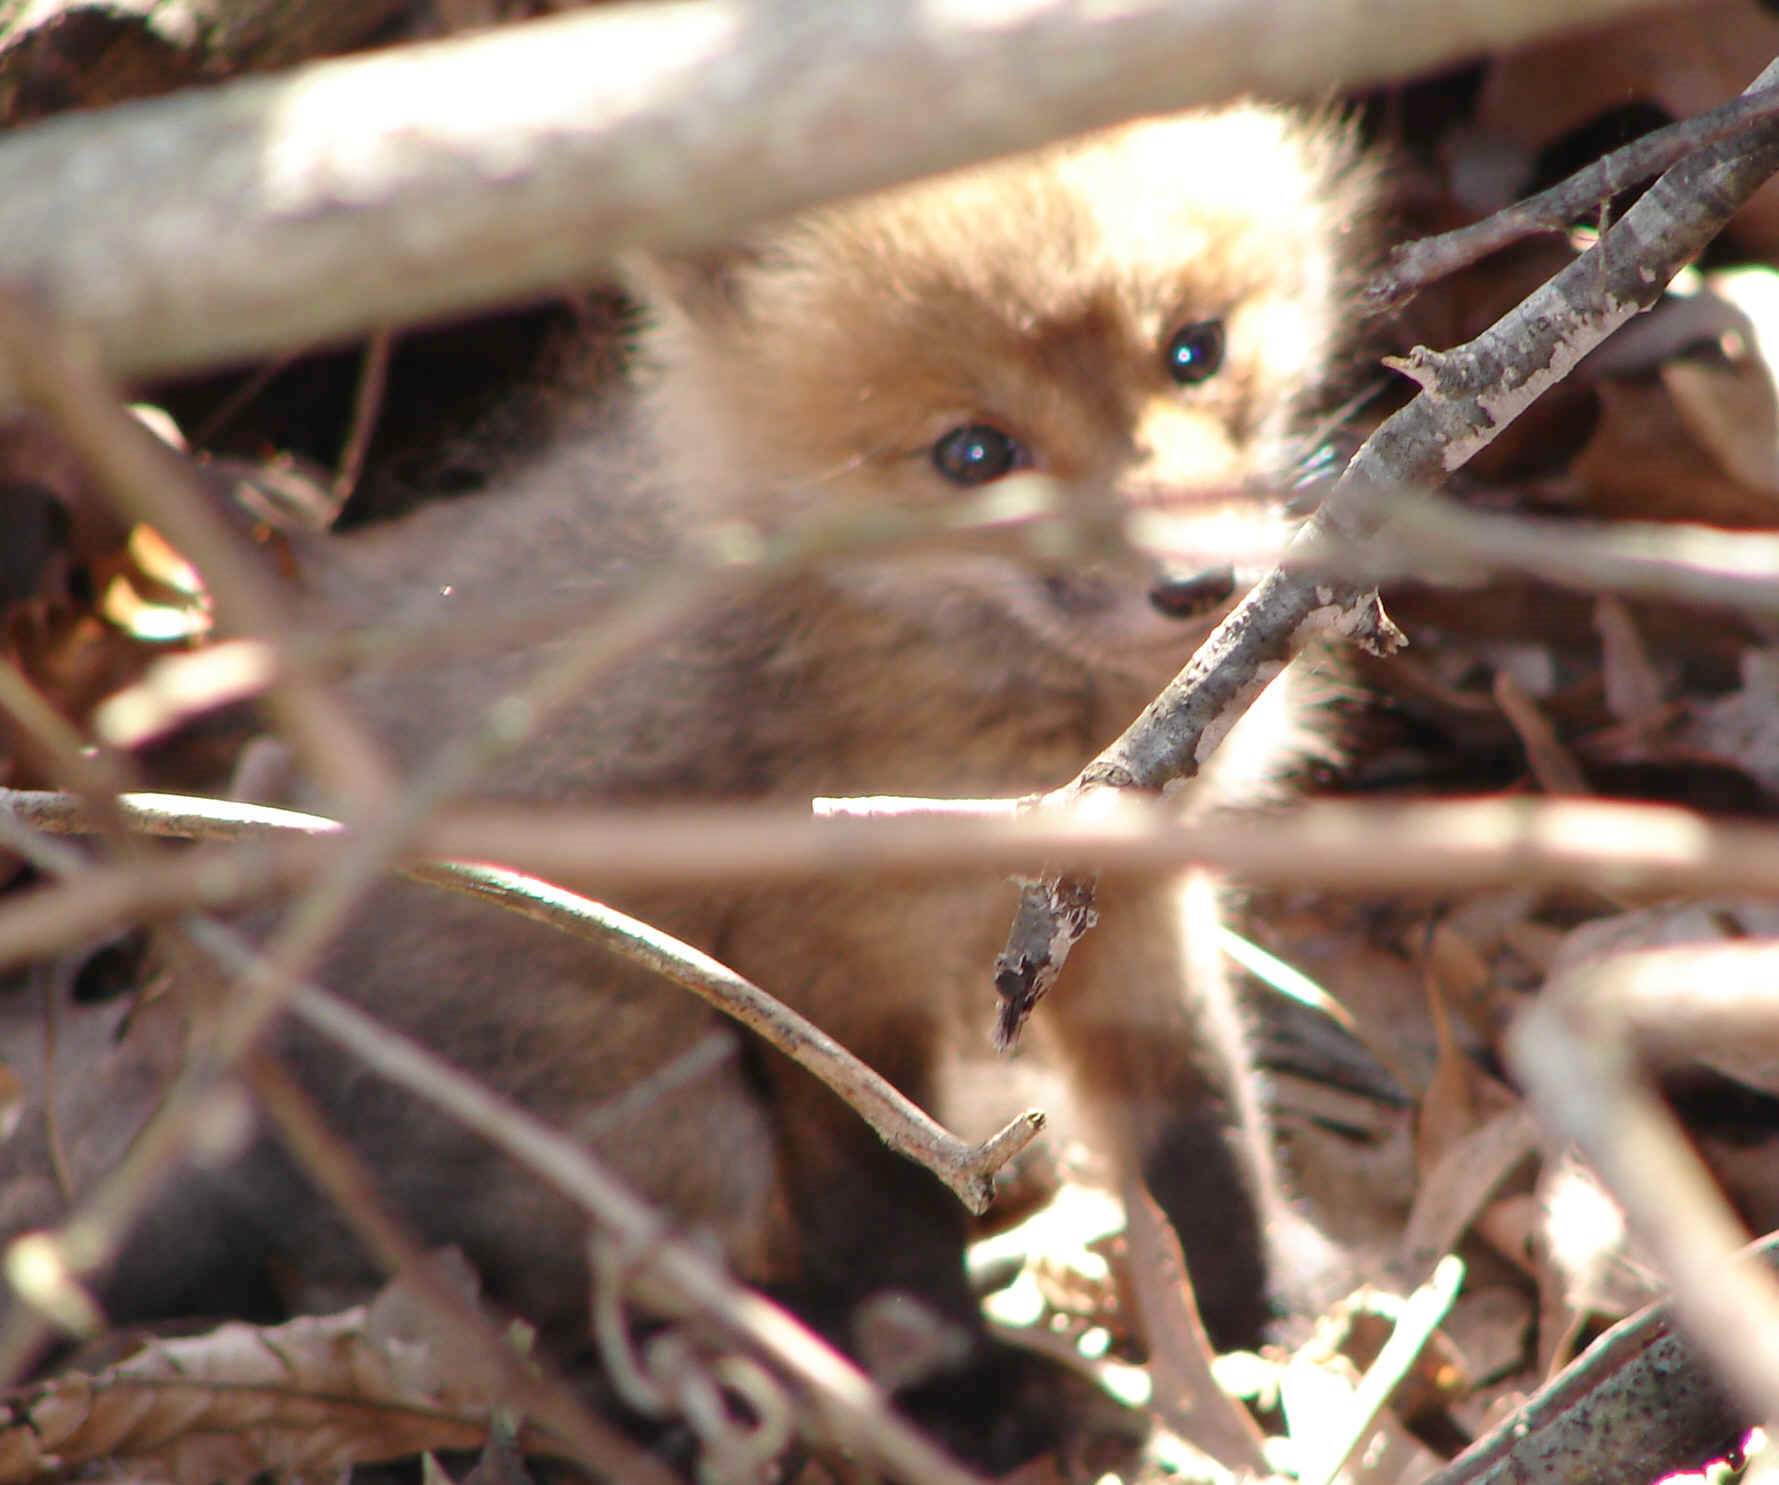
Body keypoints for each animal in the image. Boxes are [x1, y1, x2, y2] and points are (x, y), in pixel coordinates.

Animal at [101, 102, 1374, 1429]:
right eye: (975, 456)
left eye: (1193, 350)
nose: (1197, 583)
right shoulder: (813, 957)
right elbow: (883, 1200)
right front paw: (952, 1392)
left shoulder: (1128, 901)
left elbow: (1200, 1119)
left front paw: (1265, 1316)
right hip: (678, 1113)